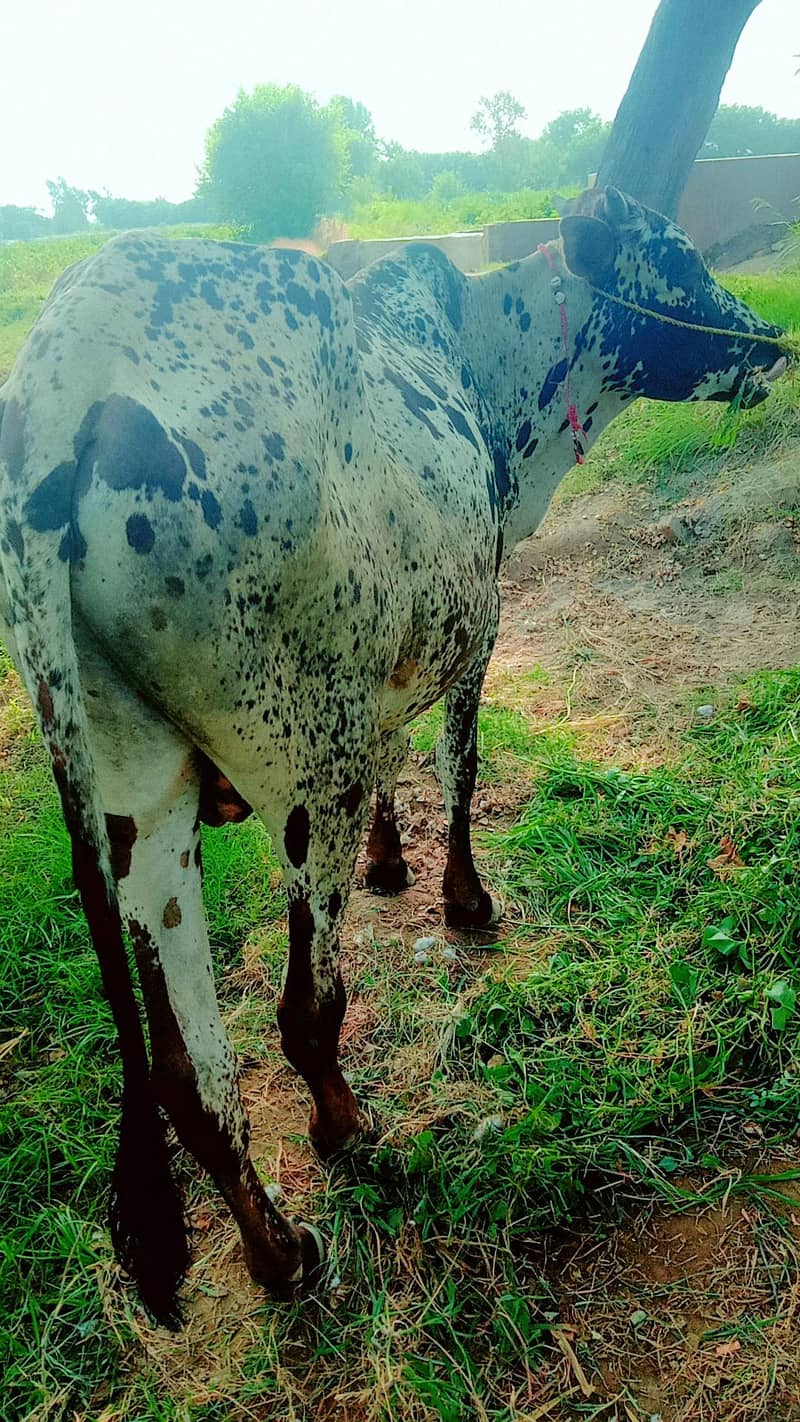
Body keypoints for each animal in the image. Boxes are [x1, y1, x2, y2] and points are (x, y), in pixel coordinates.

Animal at [0, 187, 788, 1325]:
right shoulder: (481, 619)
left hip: (140, 812)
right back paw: (342, 1127)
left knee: (193, 1079)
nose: (767, 340)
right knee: (303, 1011)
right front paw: (462, 897)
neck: (483, 351)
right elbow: (457, 767)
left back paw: (279, 1254)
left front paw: (390, 863)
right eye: (676, 258)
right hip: (305, 774)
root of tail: (65, 381)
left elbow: (400, 755)